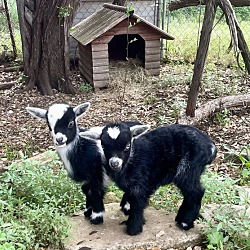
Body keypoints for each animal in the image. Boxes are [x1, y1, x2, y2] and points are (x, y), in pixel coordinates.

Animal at [82, 122, 217, 235]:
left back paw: (185, 223)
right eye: (103, 147)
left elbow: (137, 203)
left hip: (188, 169)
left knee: (196, 192)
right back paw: (180, 219)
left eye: (127, 146)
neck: (132, 159)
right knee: (189, 194)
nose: (114, 163)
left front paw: (133, 229)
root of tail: (211, 147)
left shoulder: (140, 185)